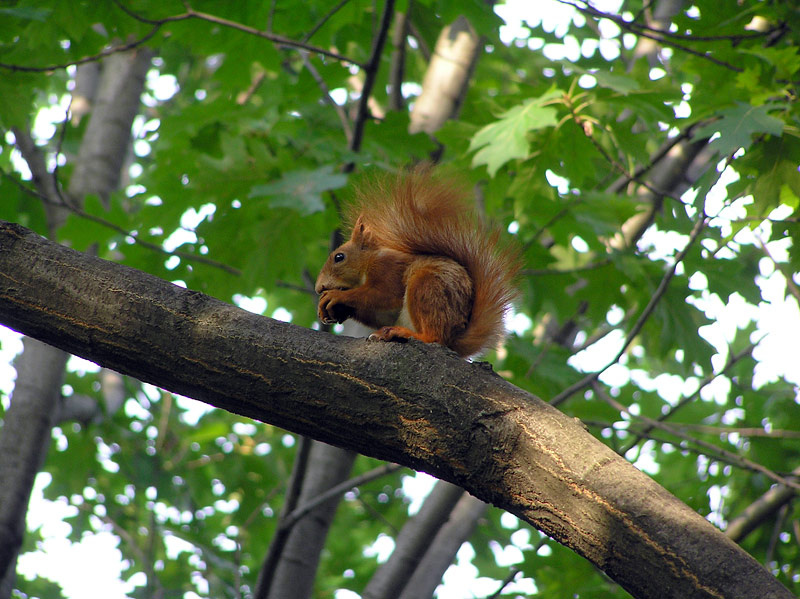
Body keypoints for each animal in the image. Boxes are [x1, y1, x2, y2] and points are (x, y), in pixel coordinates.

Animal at [315, 171, 520, 358]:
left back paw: (402, 333)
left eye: (339, 257)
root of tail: (455, 337)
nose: (318, 288)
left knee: (435, 336)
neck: (368, 263)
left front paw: (336, 296)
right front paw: (337, 310)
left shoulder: (388, 269)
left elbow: (383, 295)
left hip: (426, 287)